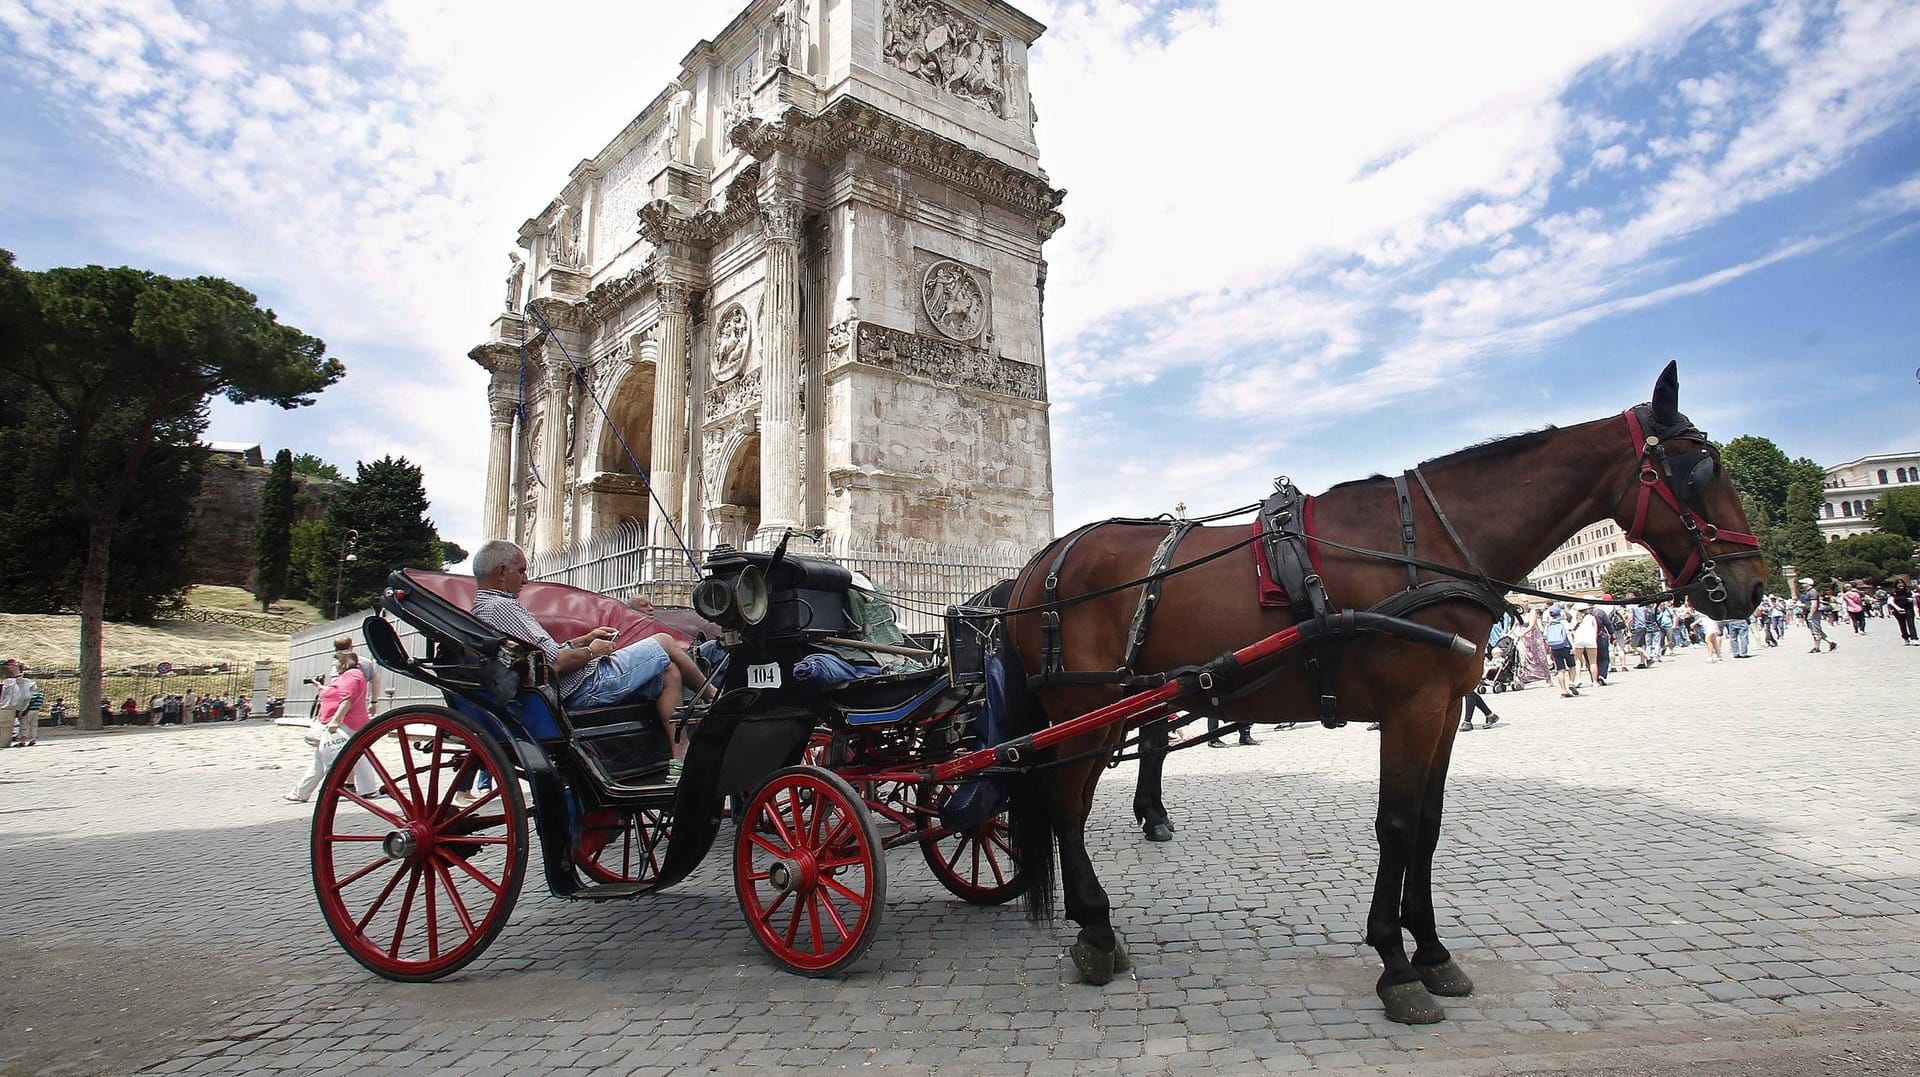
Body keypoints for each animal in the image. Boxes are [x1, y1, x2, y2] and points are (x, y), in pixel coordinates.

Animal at [998, 362, 1758, 1021]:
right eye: (1700, 472)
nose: (1750, 586)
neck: (1430, 547)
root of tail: (1042, 560)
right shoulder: (1409, 706)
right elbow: (1394, 824)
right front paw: (1395, 964)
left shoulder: (1445, 707)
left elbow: (1426, 823)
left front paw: (1434, 951)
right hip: (1084, 709)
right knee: (1064, 805)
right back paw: (1096, 929)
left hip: (1105, 711)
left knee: (1072, 803)